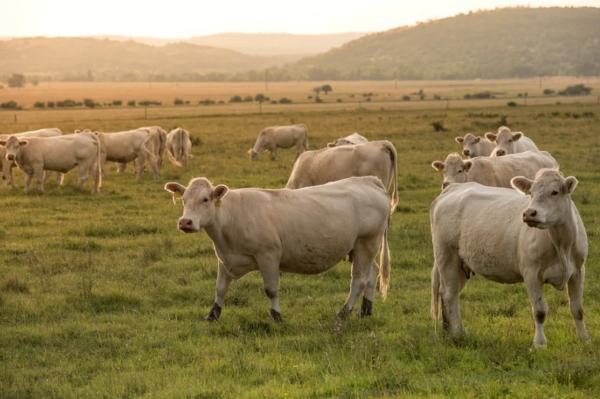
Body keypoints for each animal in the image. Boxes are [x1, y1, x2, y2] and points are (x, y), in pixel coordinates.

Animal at [164, 177, 392, 324]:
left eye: (205, 199)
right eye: (184, 200)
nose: (185, 222)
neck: (231, 216)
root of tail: (369, 181)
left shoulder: (268, 256)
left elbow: (271, 289)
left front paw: (277, 316)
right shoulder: (225, 259)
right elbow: (220, 289)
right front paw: (213, 315)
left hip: (366, 243)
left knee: (359, 280)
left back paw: (343, 313)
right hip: (361, 248)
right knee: (372, 274)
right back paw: (366, 310)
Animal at [432, 170, 592, 348]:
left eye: (555, 192)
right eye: (531, 193)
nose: (529, 213)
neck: (562, 245)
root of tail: (453, 188)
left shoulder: (578, 271)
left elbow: (577, 309)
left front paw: (584, 339)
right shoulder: (531, 273)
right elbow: (539, 311)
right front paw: (539, 344)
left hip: (461, 264)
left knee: (452, 295)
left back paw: (454, 332)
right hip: (446, 256)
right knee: (449, 294)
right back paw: (457, 334)